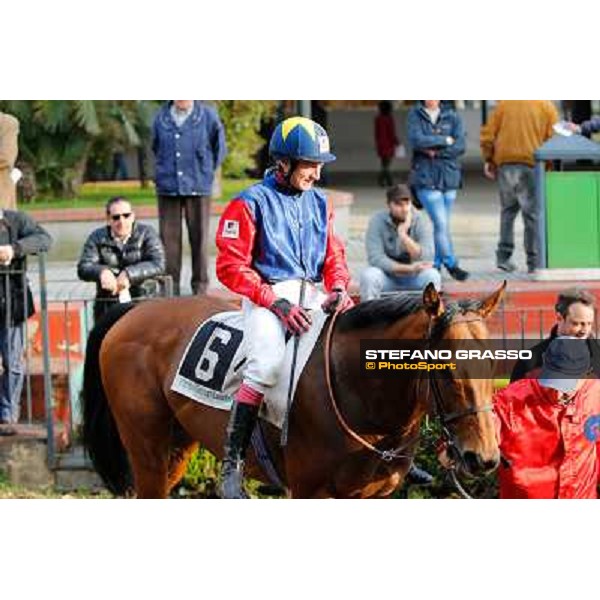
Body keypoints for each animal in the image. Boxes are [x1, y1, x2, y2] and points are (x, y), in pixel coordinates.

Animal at [82, 284, 504, 500]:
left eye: (493, 364)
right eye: (446, 371)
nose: (483, 457)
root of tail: (137, 307)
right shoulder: (308, 491)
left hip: (177, 447)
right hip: (147, 449)